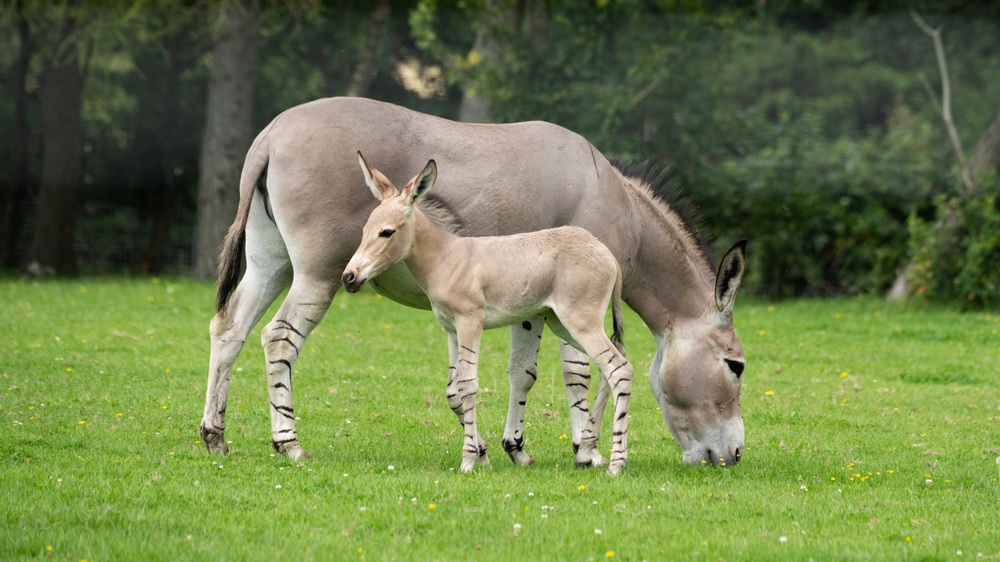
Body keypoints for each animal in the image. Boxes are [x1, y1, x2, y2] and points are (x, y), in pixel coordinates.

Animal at [344, 153, 632, 472]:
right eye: (364, 231)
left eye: (387, 232)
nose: (349, 278)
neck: (447, 258)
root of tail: (606, 252)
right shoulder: (451, 329)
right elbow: (454, 392)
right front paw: (481, 453)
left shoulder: (470, 322)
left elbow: (468, 386)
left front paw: (469, 460)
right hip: (564, 325)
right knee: (612, 365)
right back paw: (590, 450)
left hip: (581, 322)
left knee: (620, 369)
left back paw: (617, 463)